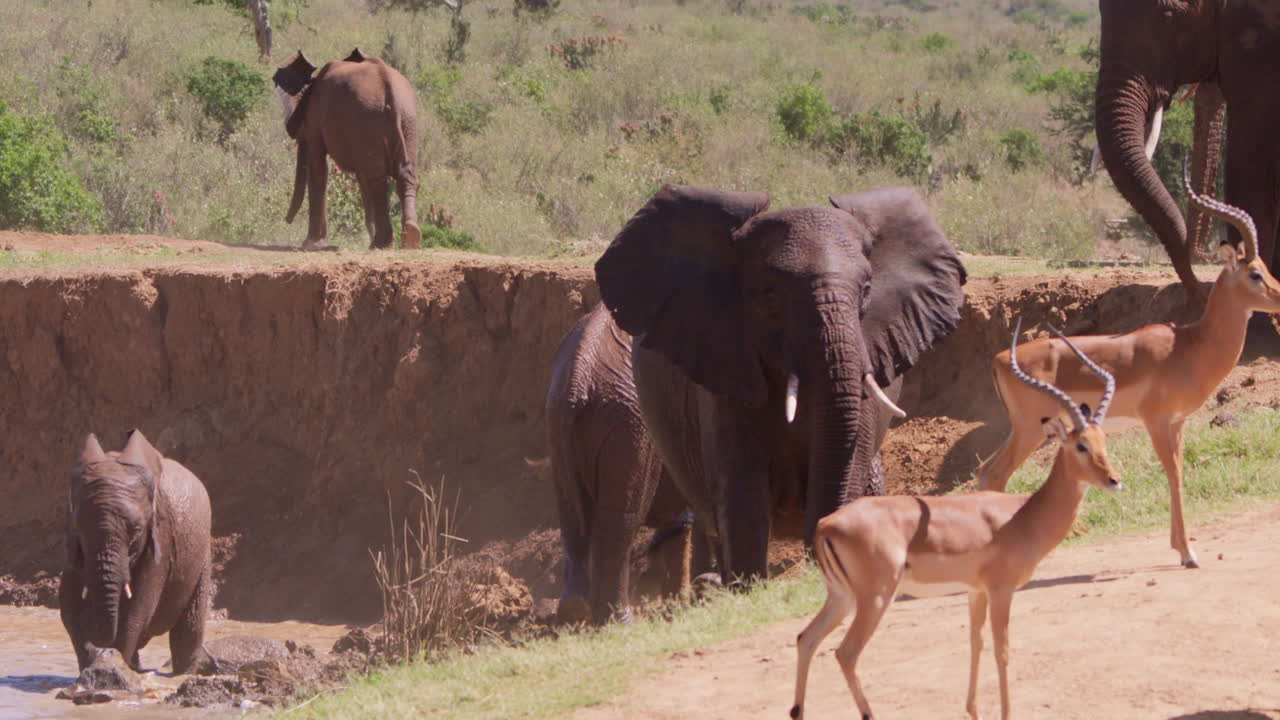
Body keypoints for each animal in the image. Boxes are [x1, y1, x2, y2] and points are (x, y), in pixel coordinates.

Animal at [59, 430, 213, 675]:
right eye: (78, 530)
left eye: (137, 530)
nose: (102, 645)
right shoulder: (71, 548)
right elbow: (68, 604)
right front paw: (95, 666)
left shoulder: (161, 537)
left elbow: (138, 606)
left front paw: (113, 665)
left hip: (202, 551)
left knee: (188, 627)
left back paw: (180, 673)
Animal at [272, 48, 421, 250]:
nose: (287, 220)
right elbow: (361, 177)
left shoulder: (316, 116)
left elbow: (318, 168)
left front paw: (311, 245)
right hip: (407, 122)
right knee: (402, 174)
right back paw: (407, 239)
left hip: (373, 119)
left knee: (378, 180)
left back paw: (382, 244)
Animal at [547, 303, 696, 624]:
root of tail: (579, 373)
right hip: (630, 423)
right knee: (621, 520)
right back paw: (621, 621)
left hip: (560, 420)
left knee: (571, 516)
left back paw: (574, 612)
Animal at [595, 185, 967, 583]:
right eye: (770, 293)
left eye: (867, 289)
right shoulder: (725, 370)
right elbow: (742, 493)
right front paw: (747, 586)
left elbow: (847, 468)